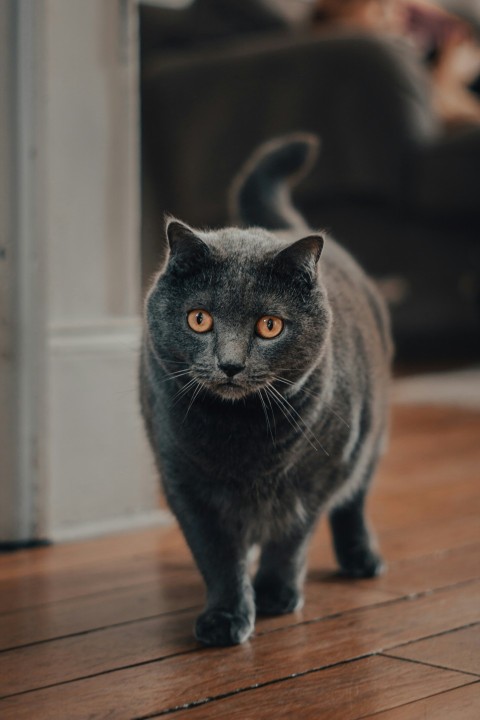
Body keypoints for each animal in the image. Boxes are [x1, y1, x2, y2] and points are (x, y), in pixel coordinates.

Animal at [140, 134, 394, 648]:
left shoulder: (318, 475)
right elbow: (217, 554)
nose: (230, 363)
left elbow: (291, 540)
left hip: (371, 437)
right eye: (200, 319)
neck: (242, 436)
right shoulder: (183, 481)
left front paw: (275, 595)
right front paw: (226, 616)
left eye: (269, 326)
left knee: (354, 502)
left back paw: (361, 559)